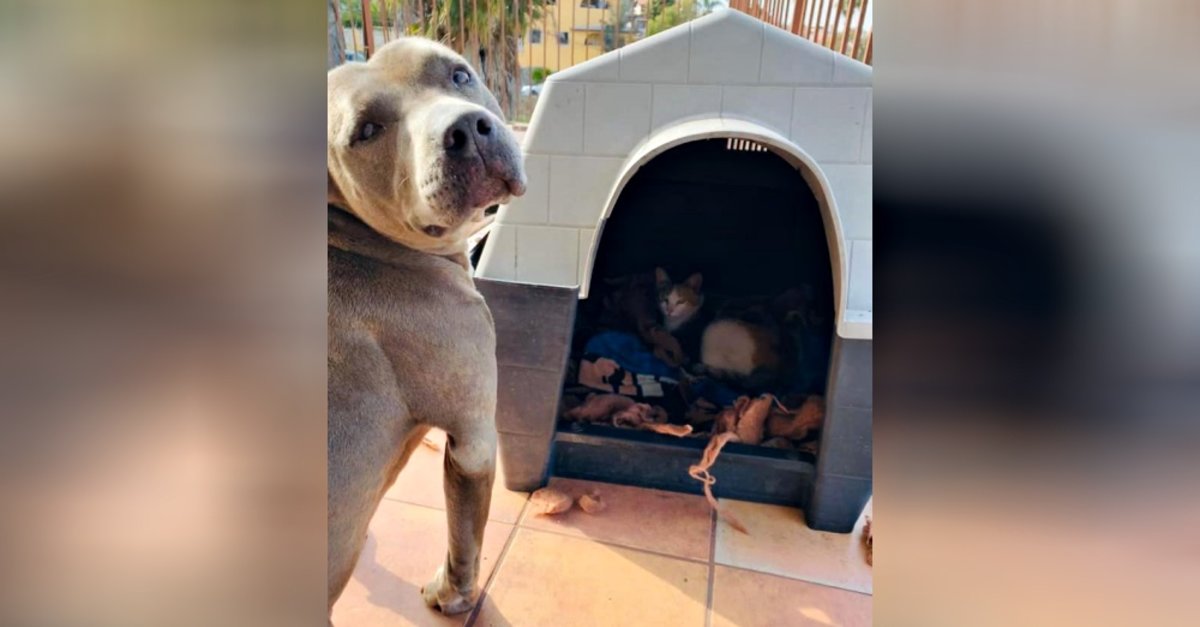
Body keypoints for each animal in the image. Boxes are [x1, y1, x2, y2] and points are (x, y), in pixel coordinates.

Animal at [324, 37, 525, 614]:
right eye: (367, 130)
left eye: (458, 74)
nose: (467, 131)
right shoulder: (474, 442)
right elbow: (466, 538)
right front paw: (454, 596)